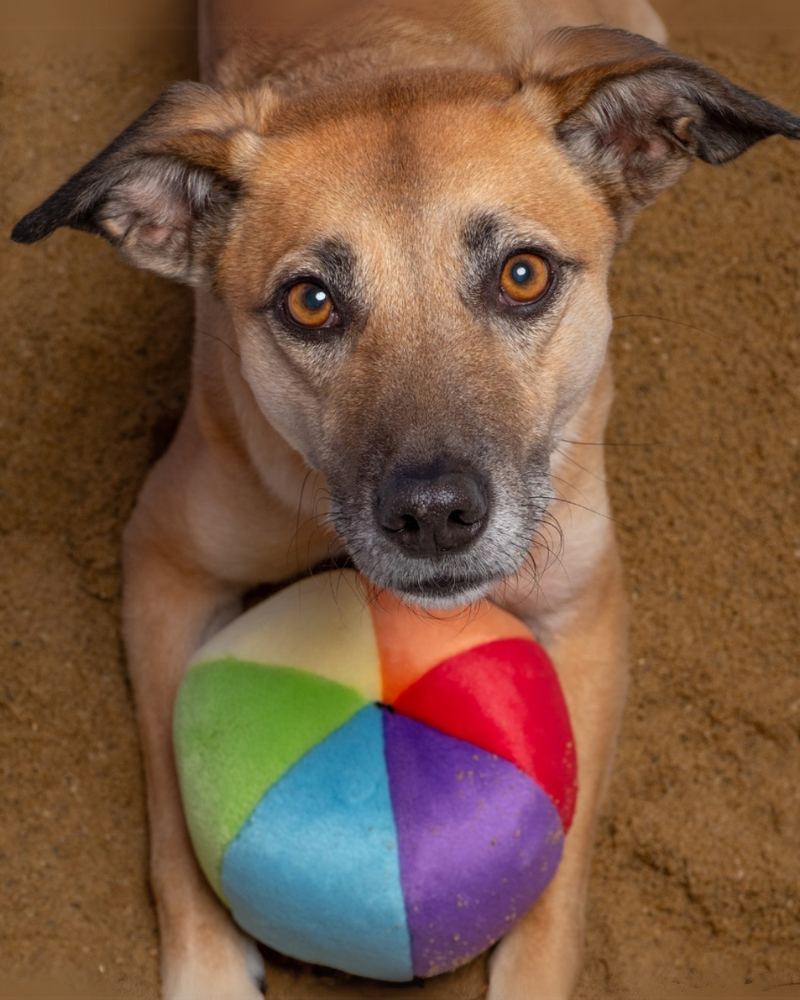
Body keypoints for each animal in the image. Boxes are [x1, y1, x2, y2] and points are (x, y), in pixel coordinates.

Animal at [10, 1, 800, 1000]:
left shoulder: (586, 611)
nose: (433, 516)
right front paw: (208, 972)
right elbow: (169, 807)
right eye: (309, 302)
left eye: (523, 274)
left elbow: (560, 870)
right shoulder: (163, 558)